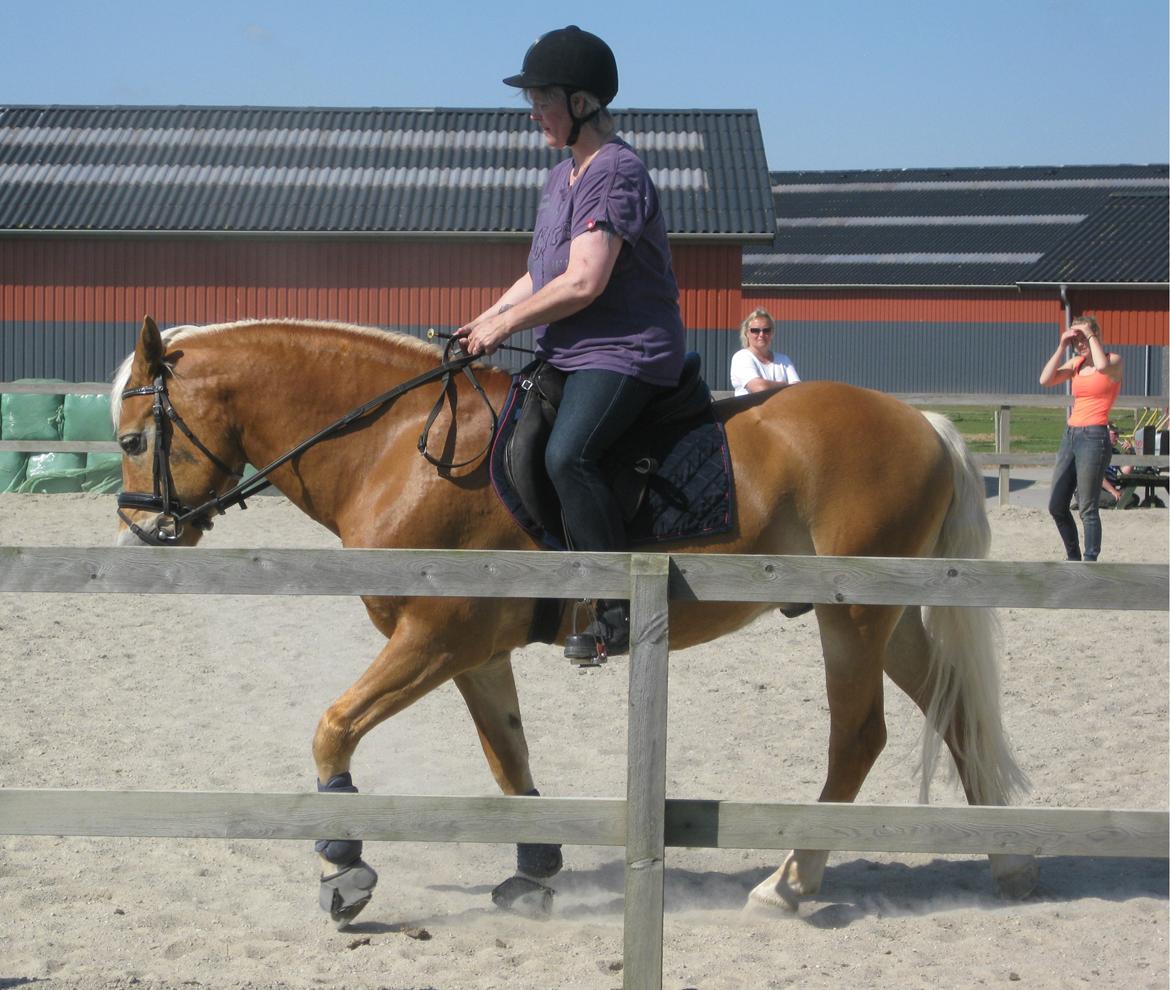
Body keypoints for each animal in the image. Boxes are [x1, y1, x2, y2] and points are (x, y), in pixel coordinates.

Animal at [114, 320, 1038, 931]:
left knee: (859, 737)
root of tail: (923, 422)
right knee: (956, 715)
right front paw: (536, 870)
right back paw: (1008, 860)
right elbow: (507, 755)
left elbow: (333, 729)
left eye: (127, 439)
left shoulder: (434, 637)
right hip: (893, 619)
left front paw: (345, 869)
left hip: (854, 618)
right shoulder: (470, 651)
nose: (141, 531)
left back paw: (789, 882)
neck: (398, 447)